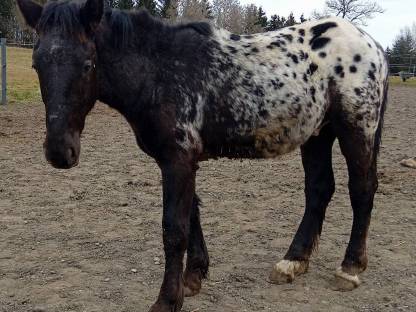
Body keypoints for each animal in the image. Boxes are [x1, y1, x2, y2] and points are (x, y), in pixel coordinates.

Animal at [17, 0, 390, 310]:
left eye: (87, 63)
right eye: (36, 64)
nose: (59, 151)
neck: (160, 70)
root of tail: (372, 45)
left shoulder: (178, 159)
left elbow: (174, 228)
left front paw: (168, 300)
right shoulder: (183, 160)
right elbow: (192, 214)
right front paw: (193, 277)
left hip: (357, 129)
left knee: (362, 190)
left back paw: (350, 268)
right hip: (317, 134)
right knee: (319, 190)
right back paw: (293, 262)